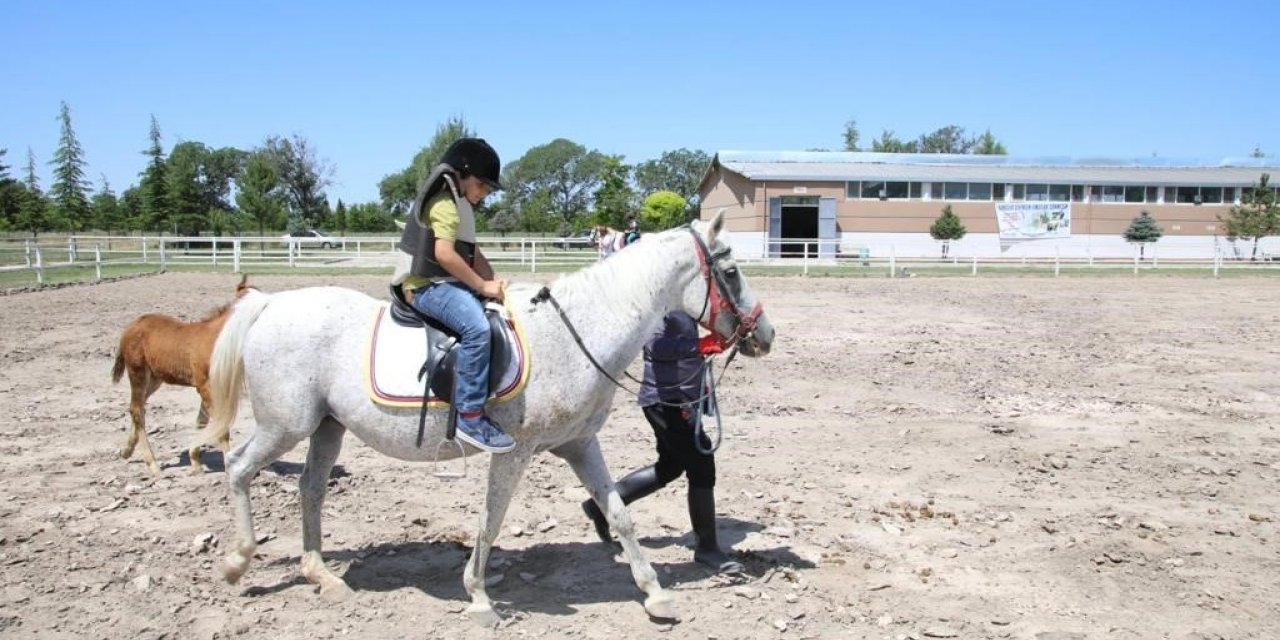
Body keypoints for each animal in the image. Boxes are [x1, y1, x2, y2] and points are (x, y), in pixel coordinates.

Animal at [204, 209, 773, 624]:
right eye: (731, 271)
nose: (765, 334)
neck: (574, 332)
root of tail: (270, 305)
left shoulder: (579, 445)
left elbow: (620, 515)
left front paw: (655, 594)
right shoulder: (516, 452)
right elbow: (492, 518)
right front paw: (478, 596)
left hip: (327, 428)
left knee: (310, 489)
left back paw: (322, 576)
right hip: (285, 425)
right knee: (238, 468)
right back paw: (236, 563)